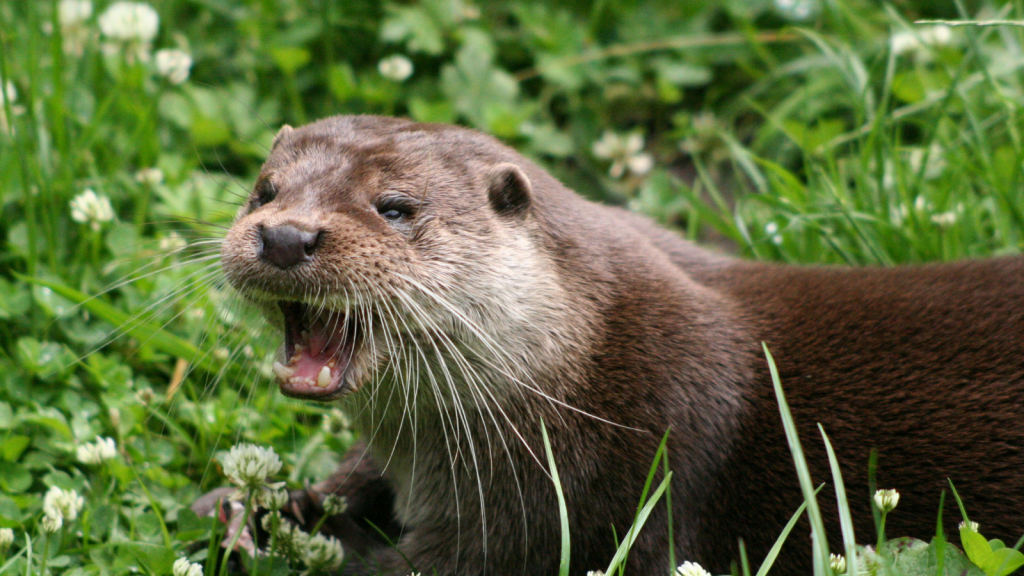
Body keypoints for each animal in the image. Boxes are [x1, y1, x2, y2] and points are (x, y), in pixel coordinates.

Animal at [207, 114, 1024, 569]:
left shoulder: (565, 506)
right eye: (263, 191)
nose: (285, 236)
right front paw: (253, 506)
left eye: (396, 207)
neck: (581, 387)